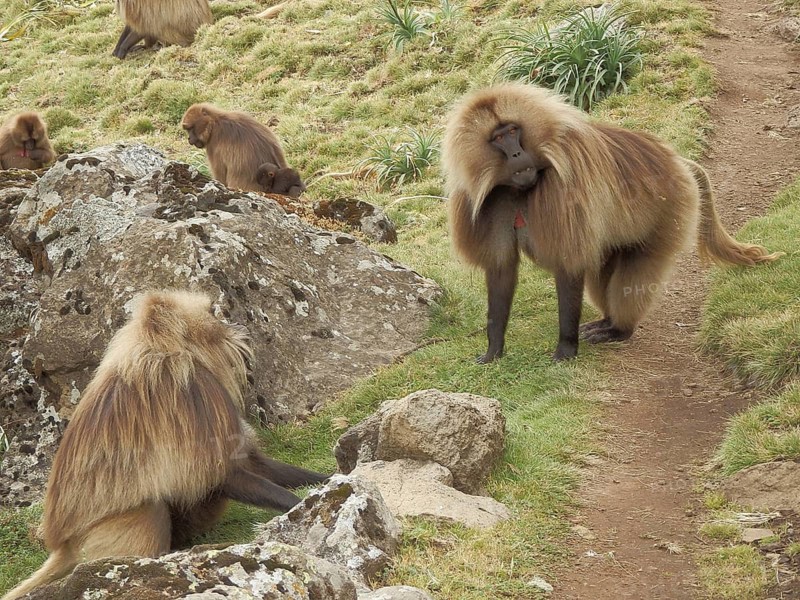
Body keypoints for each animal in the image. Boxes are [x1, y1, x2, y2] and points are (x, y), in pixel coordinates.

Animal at [2, 290, 329, 600]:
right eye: (214, 314)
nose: (239, 328)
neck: (170, 351)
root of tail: (62, 545)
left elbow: (250, 462)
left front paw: (326, 481)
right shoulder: (198, 393)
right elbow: (220, 473)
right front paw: (298, 506)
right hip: (100, 537)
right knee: (152, 507)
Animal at [442, 83, 782, 363]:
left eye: (514, 130)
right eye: (498, 138)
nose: (515, 153)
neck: (519, 190)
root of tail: (677, 161)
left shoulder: (565, 191)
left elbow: (569, 265)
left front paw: (566, 349)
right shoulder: (491, 202)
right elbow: (501, 270)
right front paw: (493, 350)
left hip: (671, 211)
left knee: (634, 276)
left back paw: (619, 330)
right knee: (602, 272)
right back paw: (605, 321)